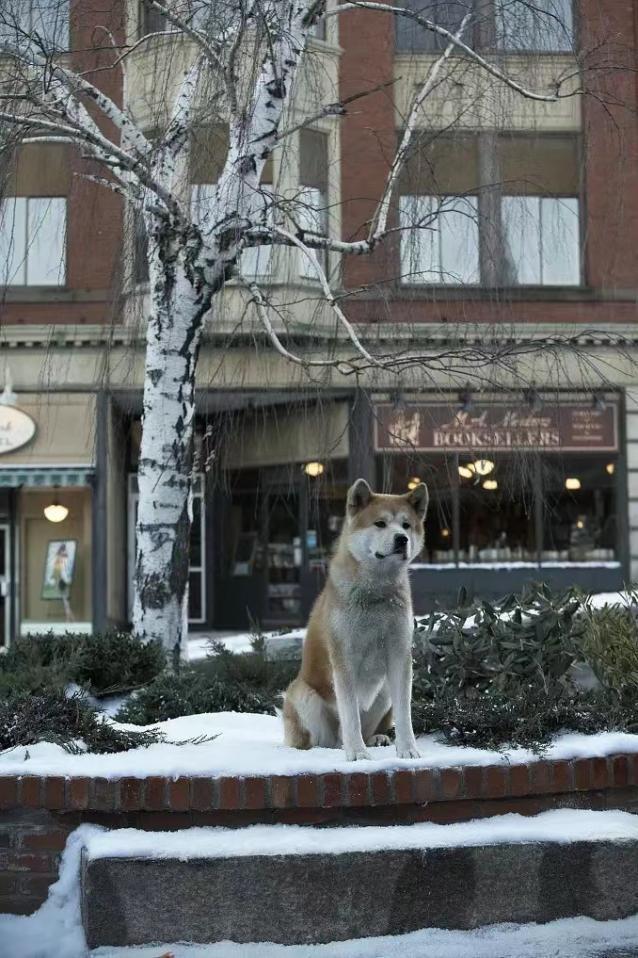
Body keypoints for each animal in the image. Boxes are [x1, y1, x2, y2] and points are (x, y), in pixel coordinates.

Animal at [282, 480, 428, 764]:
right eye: (380, 523)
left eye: (406, 525)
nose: (401, 539)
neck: (376, 595)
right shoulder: (343, 658)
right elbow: (350, 713)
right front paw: (358, 754)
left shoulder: (400, 655)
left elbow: (404, 714)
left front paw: (407, 749)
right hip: (303, 695)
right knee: (326, 739)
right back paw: (329, 749)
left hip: (383, 694)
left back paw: (376, 738)